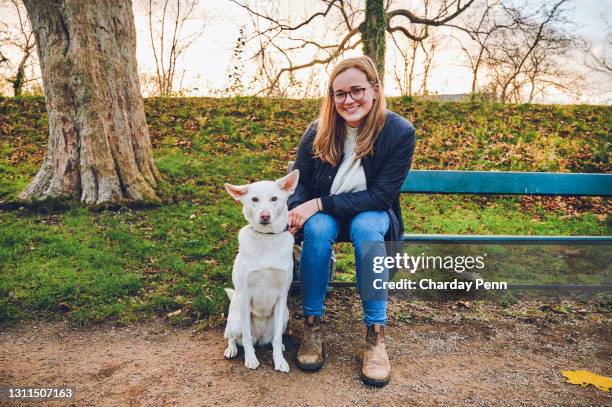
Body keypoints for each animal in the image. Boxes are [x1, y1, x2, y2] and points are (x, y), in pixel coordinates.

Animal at [222, 169, 298, 372]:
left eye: (274, 198)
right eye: (254, 199)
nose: (265, 216)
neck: (267, 238)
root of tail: (260, 338)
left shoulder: (282, 295)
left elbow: (277, 338)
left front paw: (279, 361)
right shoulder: (245, 295)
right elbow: (247, 337)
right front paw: (250, 359)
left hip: (285, 315)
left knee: (273, 339)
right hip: (236, 319)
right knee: (233, 337)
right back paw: (232, 349)